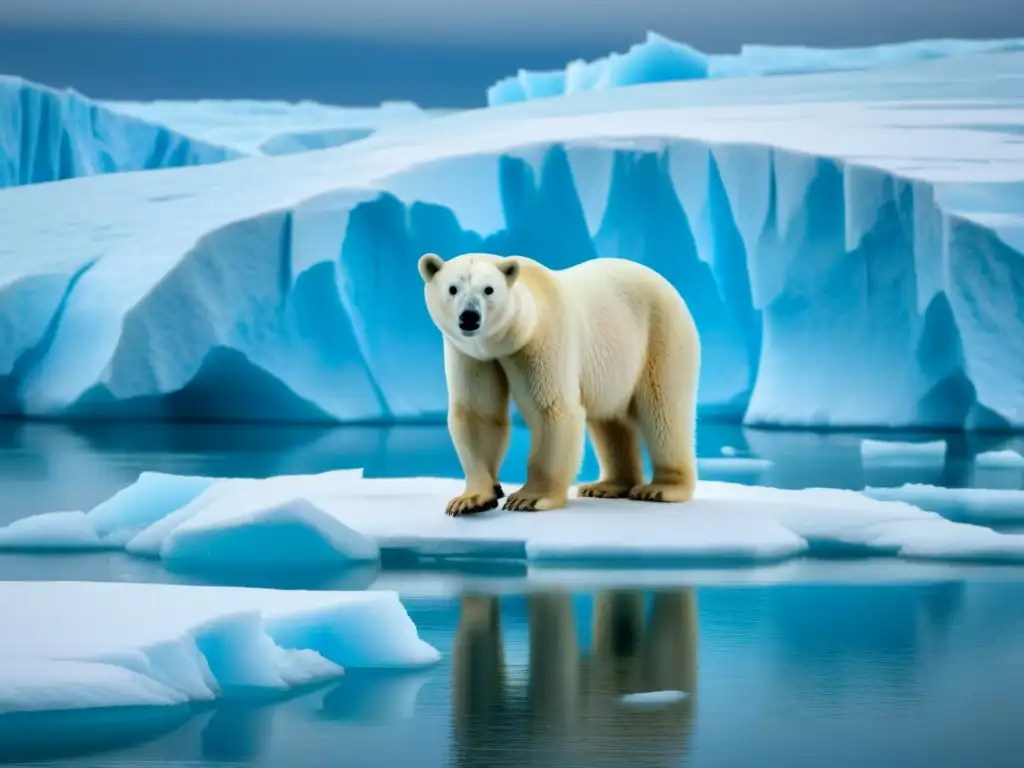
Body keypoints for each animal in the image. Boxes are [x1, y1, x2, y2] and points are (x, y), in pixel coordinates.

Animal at [419, 252, 700, 518]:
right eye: (453, 288)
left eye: (489, 289)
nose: (469, 317)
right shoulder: (473, 356)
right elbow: (478, 414)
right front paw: (470, 499)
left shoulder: (543, 338)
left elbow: (551, 409)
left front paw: (528, 498)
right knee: (609, 419)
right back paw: (606, 485)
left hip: (660, 336)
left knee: (662, 411)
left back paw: (661, 488)